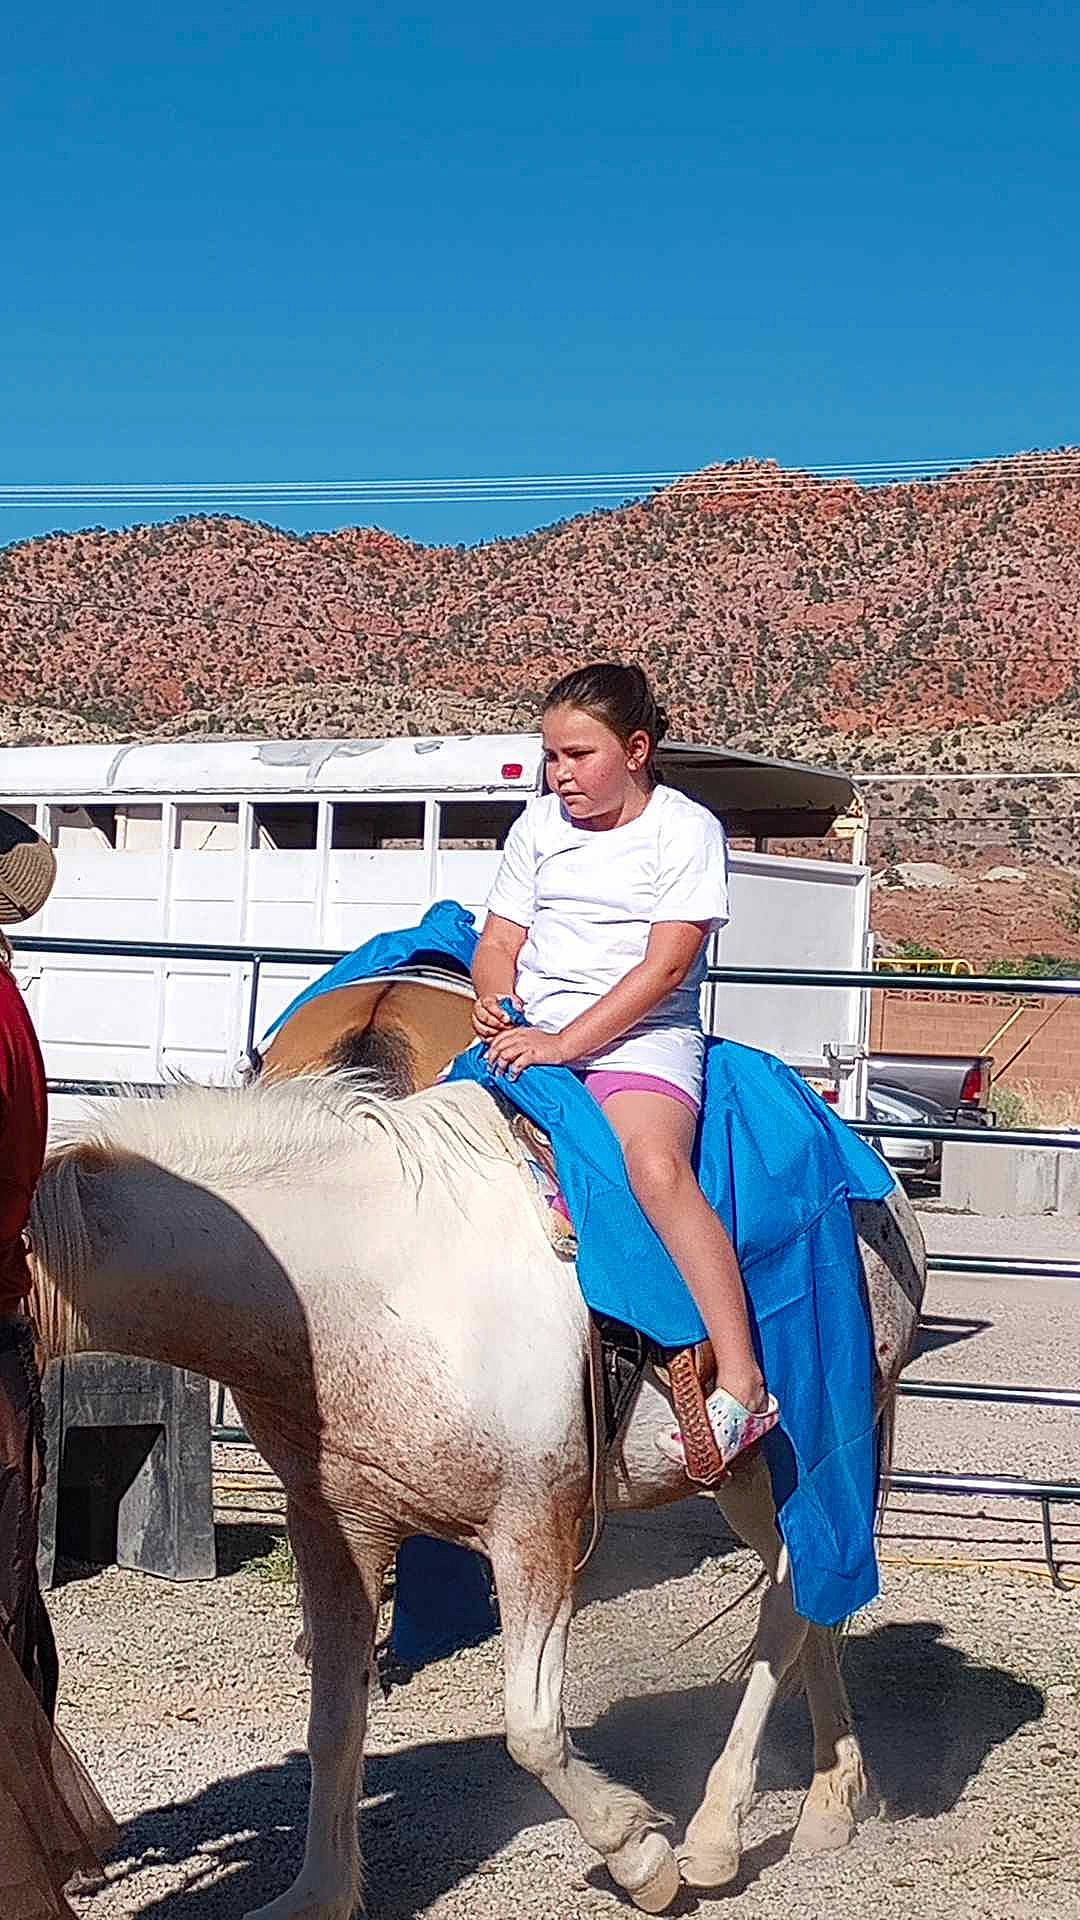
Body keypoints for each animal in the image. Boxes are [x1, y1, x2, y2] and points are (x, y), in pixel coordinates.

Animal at [27, 1069, 926, 1920]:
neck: (357, 1280)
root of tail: (884, 1187)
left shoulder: (535, 1528)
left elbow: (532, 1730)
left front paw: (641, 1860)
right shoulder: (337, 1529)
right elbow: (334, 1723)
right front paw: (317, 1893)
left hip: (800, 1452)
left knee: (792, 1599)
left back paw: (714, 1837)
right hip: (741, 1480)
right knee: (806, 1594)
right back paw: (832, 1802)